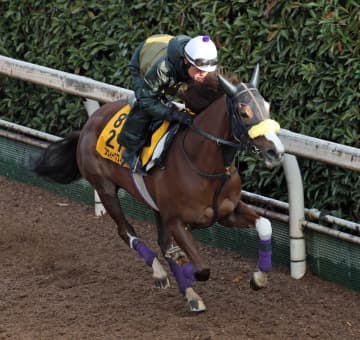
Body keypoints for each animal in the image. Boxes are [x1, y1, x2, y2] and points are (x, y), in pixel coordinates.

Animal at [33, 65, 284, 312]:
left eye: (267, 107)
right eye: (244, 113)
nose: (276, 151)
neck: (202, 163)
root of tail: (87, 125)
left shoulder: (226, 212)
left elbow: (265, 224)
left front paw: (258, 278)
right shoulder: (176, 220)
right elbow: (201, 269)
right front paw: (181, 266)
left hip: (155, 206)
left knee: (161, 242)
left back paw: (189, 294)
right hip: (105, 188)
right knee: (126, 231)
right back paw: (161, 274)